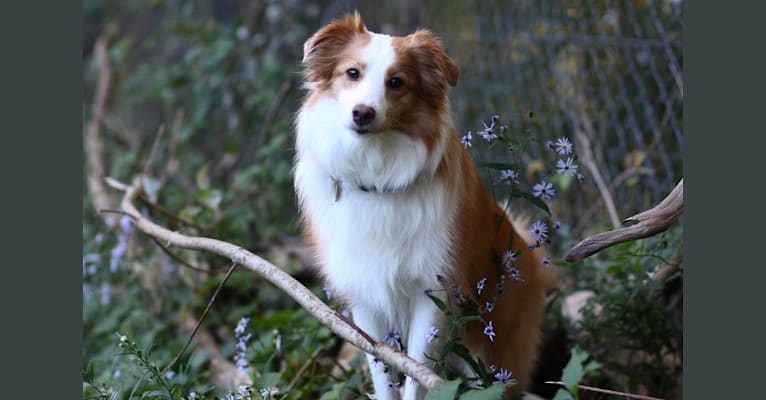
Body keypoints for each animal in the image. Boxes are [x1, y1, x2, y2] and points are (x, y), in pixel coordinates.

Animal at [292, 13, 552, 400]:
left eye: (396, 82)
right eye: (352, 73)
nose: (363, 113)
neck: (377, 178)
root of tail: (527, 254)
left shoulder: (432, 292)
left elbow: (417, 372)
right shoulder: (365, 298)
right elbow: (382, 371)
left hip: (491, 353)